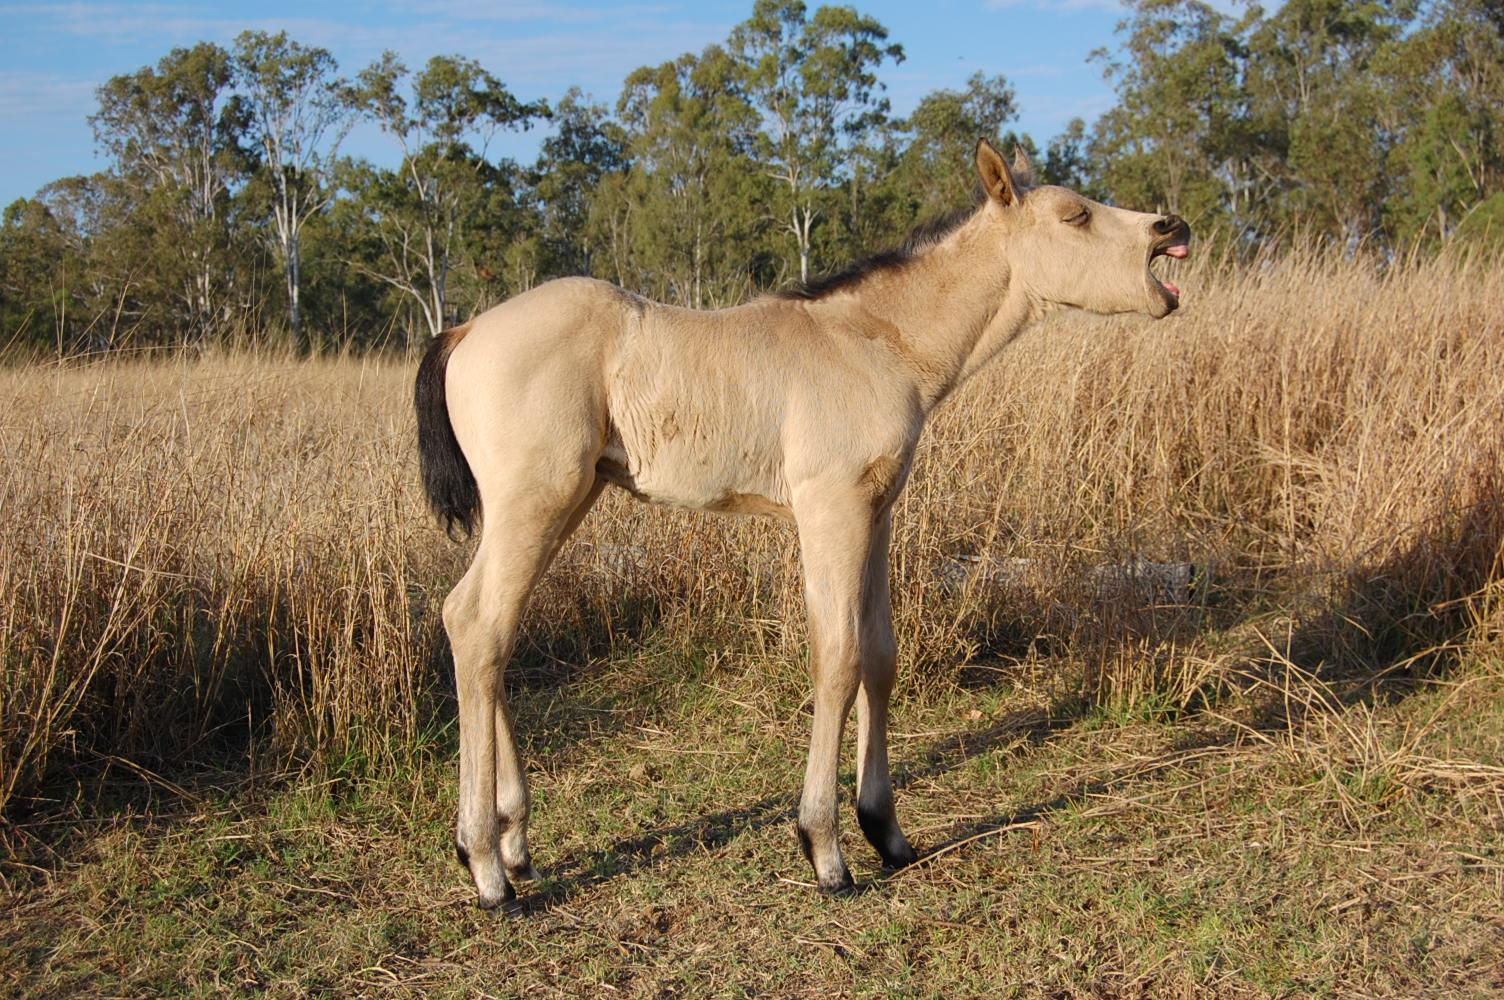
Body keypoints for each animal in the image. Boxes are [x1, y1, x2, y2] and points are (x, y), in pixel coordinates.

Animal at [414, 139, 1191, 909]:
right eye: (1075, 215)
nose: (1172, 227)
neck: (875, 341)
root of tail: (466, 328)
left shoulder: (877, 512)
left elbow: (880, 654)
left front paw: (886, 832)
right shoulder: (831, 510)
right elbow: (837, 657)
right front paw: (825, 850)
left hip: (564, 503)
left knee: (485, 630)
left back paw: (514, 844)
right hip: (537, 503)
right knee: (477, 623)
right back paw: (484, 865)